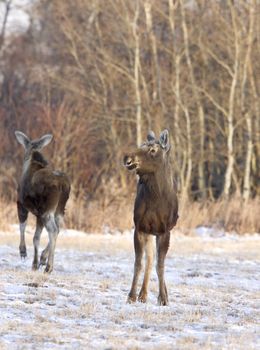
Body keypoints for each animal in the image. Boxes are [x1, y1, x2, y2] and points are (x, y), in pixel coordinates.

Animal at [14, 131, 70, 274]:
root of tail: (62, 185)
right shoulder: (38, 213)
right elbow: (36, 237)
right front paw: (37, 261)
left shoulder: (21, 204)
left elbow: (23, 227)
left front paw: (24, 252)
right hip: (59, 209)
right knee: (58, 229)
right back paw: (44, 259)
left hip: (47, 210)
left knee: (53, 230)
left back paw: (49, 267)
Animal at [123, 130, 178, 304]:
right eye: (141, 145)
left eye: (153, 150)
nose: (127, 157)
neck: (155, 199)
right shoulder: (140, 228)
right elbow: (139, 263)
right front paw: (131, 296)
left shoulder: (164, 230)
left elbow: (160, 265)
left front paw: (163, 298)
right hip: (148, 232)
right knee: (150, 258)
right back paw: (143, 295)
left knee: (157, 260)